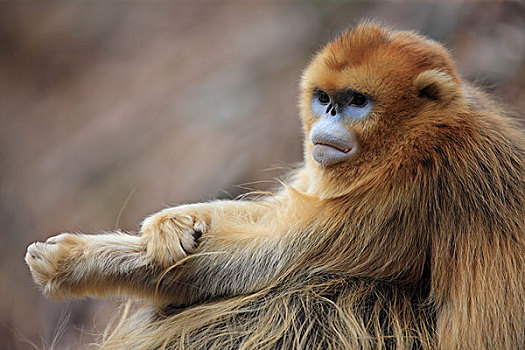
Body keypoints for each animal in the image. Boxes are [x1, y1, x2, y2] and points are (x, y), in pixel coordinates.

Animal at [24, 22, 524, 350]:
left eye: (357, 101)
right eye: (324, 99)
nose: (327, 118)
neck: (421, 139)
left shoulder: (404, 192)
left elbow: (259, 264)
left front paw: (73, 262)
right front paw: (170, 223)